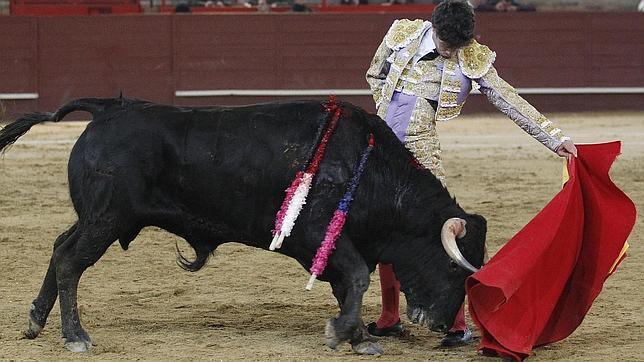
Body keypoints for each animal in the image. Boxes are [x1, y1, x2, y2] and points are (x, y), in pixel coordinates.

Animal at [0, 97, 484, 354]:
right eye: (454, 267)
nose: (442, 324)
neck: (369, 168)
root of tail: (104, 110)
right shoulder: (316, 234)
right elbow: (358, 278)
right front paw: (346, 333)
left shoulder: (332, 246)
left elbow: (348, 284)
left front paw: (359, 336)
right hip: (106, 219)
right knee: (69, 260)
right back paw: (75, 336)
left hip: (97, 218)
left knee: (59, 246)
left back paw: (36, 320)